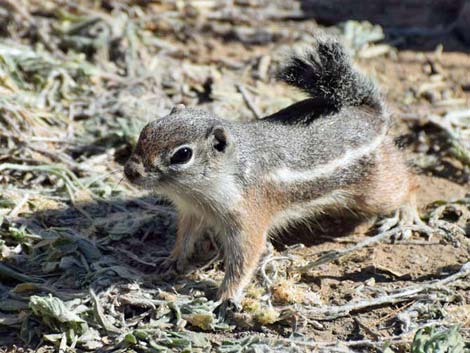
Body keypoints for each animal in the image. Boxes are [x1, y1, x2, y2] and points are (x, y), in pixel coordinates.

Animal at [123, 35, 428, 306]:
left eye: (182, 154)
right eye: (146, 129)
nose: (130, 171)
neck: (202, 190)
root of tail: (370, 114)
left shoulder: (248, 219)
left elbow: (245, 258)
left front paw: (227, 296)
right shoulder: (192, 213)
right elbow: (184, 238)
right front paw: (171, 260)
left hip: (375, 191)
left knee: (410, 183)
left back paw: (405, 218)